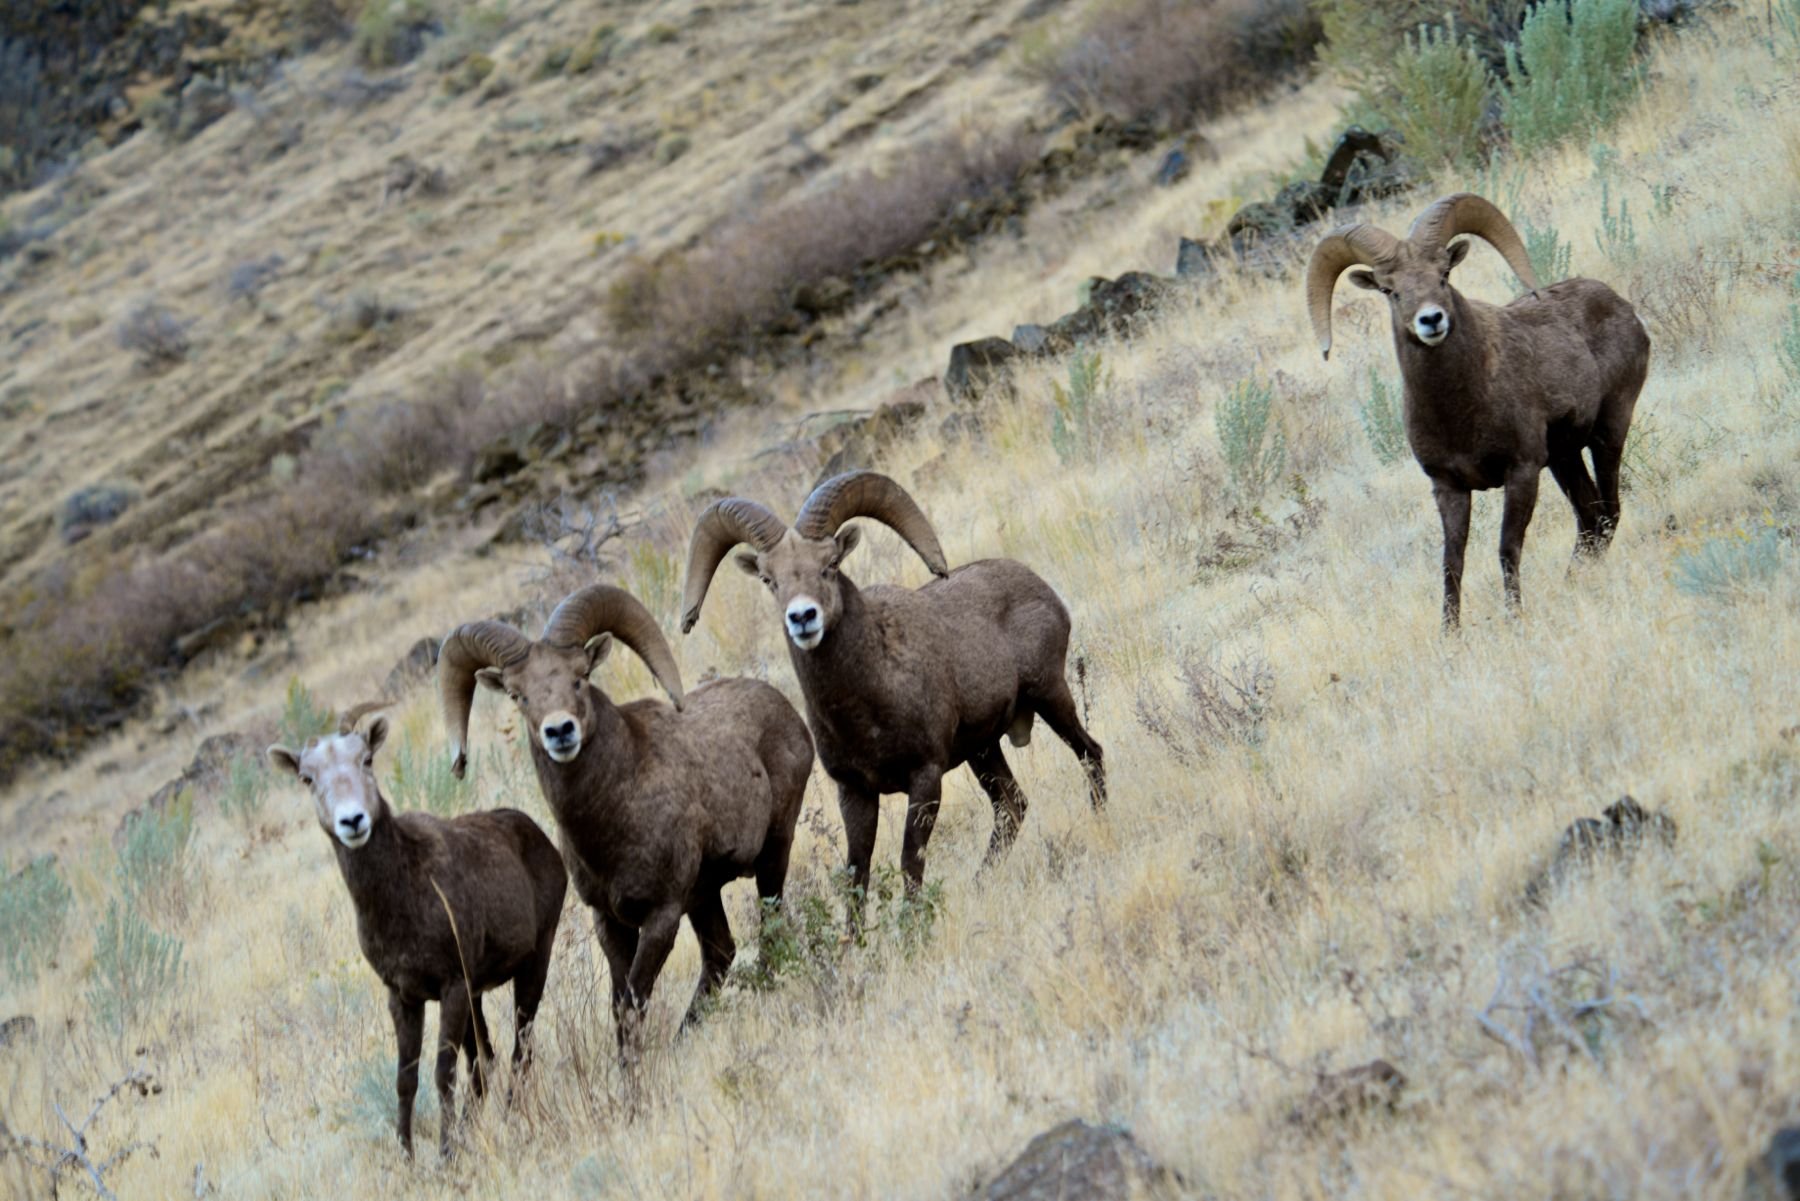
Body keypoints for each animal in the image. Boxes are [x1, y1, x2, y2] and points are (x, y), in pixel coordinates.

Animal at [266, 701, 567, 1160]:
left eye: (366, 759)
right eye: (307, 778)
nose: (352, 821)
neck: (402, 899)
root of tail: (542, 840)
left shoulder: (451, 987)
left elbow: (443, 1072)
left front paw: (445, 1156)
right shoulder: (404, 997)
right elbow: (405, 1079)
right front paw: (407, 1159)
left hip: (534, 964)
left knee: (519, 1050)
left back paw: (508, 1118)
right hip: (478, 997)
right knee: (485, 1061)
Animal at [437, 584, 813, 1056]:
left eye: (580, 677)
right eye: (518, 695)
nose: (560, 732)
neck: (614, 817)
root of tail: (787, 712)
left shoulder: (661, 916)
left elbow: (635, 1001)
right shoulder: (610, 921)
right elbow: (620, 1006)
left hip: (773, 854)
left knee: (769, 928)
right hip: (705, 895)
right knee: (720, 954)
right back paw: (681, 1040)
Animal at [679, 470, 1106, 904]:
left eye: (830, 564)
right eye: (770, 579)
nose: (802, 617)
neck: (867, 705)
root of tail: (1041, 588)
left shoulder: (925, 778)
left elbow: (910, 862)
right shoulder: (856, 793)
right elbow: (857, 876)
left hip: (1050, 697)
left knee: (1090, 754)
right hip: (984, 750)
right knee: (1011, 806)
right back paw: (980, 882)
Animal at [1305, 192, 1650, 626]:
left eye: (1443, 275)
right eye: (1389, 290)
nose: (1431, 320)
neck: (1460, 411)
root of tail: (1623, 307)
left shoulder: (1521, 473)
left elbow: (1507, 548)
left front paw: (1514, 618)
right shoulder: (1449, 489)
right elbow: (1452, 564)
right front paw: (1450, 633)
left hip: (1608, 432)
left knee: (1609, 512)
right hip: (1564, 458)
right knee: (1591, 520)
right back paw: (1571, 582)